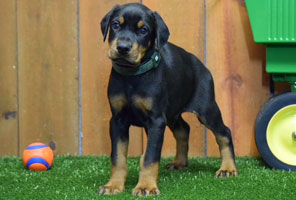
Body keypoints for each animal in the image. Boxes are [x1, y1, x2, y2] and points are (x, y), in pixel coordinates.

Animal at [98, 2, 237, 197]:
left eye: (144, 30)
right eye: (116, 25)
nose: (123, 48)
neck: (133, 76)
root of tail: (201, 65)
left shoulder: (156, 121)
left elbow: (149, 157)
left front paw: (146, 187)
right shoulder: (118, 120)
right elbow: (118, 157)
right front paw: (113, 185)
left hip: (206, 109)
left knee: (224, 132)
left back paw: (227, 168)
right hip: (172, 113)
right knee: (184, 129)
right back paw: (180, 162)